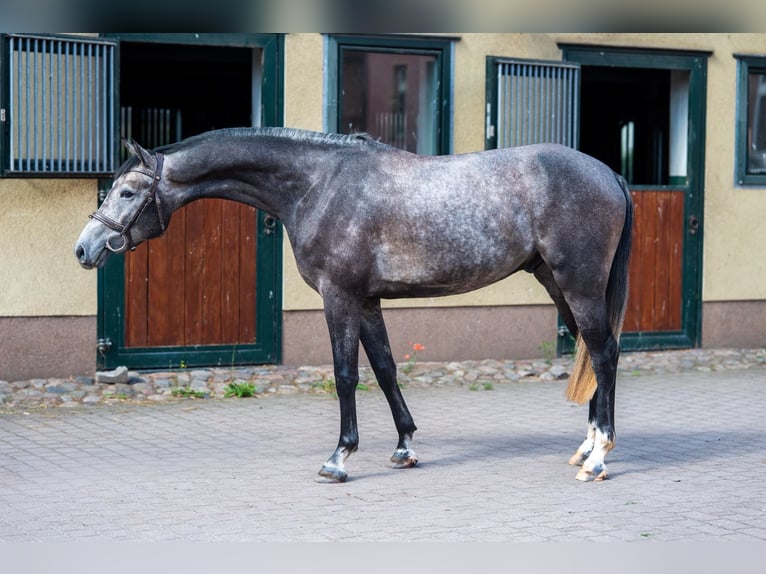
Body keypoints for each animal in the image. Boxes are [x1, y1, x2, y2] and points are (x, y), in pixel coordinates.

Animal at [75, 127, 633, 483]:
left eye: (127, 192)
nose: (84, 249)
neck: (319, 187)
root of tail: (609, 174)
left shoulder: (339, 296)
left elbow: (345, 374)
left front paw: (339, 458)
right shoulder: (366, 301)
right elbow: (384, 369)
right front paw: (404, 448)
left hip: (579, 286)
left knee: (605, 354)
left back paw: (600, 456)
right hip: (557, 284)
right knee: (593, 353)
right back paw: (586, 446)